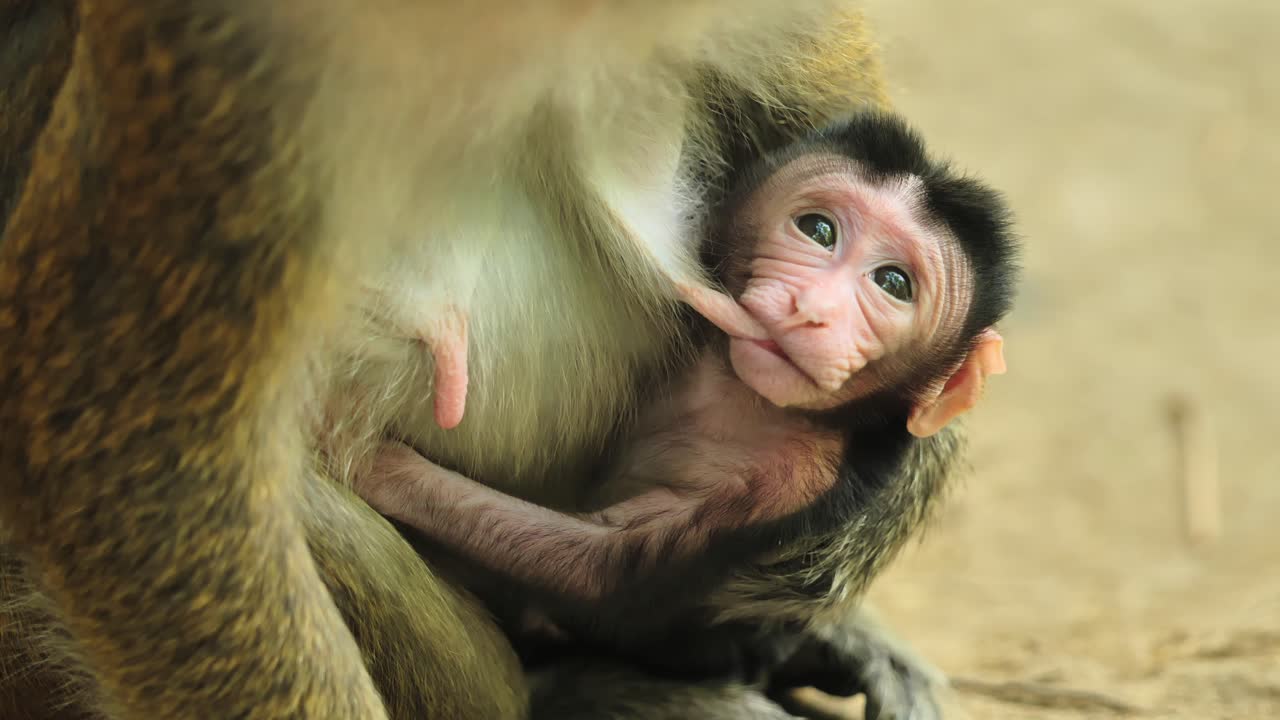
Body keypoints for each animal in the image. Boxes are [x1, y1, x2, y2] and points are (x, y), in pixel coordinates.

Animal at [356, 109, 1017, 685]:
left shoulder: (802, 479)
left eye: (893, 284)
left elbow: (604, 567)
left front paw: (373, 464)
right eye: (818, 230)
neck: (741, 394)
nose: (812, 309)